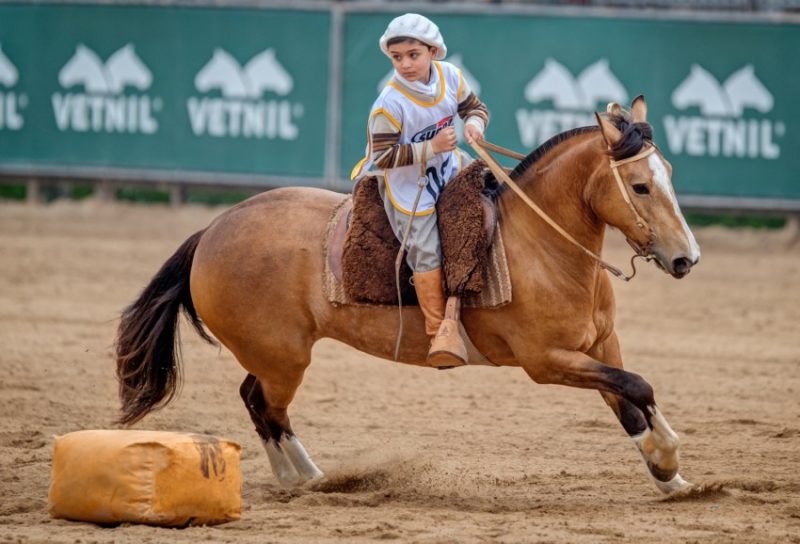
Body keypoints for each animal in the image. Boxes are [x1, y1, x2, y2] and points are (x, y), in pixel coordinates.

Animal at [114, 96, 700, 492]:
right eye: (640, 185)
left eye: (670, 172)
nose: (685, 258)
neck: (540, 244)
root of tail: (211, 231)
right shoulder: (547, 361)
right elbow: (639, 387)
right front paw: (668, 457)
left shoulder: (599, 345)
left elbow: (628, 399)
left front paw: (668, 475)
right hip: (284, 358)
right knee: (265, 406)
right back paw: (308, 478)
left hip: (273, 357)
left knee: (255, 401)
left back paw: (303, 476)